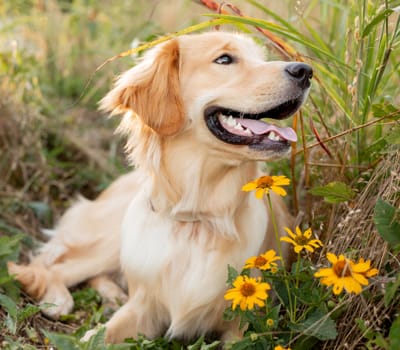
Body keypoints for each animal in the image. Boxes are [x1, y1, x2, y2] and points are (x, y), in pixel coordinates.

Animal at [7, 31, 310, 344]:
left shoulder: (246, 326)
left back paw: (113, 294)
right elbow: (94, 337)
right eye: (225, 59)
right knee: (46, 266)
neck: (198, 218)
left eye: (262, 58)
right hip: (110, 239)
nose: (305, 71)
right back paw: (58, 299)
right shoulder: (143, 308)